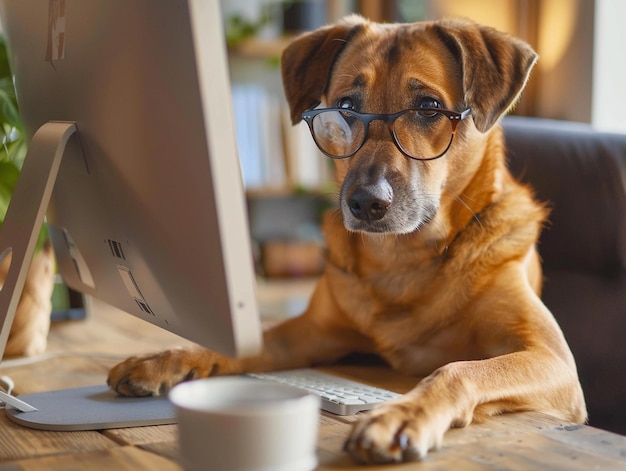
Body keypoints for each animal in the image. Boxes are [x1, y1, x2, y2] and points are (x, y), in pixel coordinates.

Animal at [107, 15, 584, 464]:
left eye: (429, 107)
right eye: (346, 106)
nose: (365, 203)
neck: (404, 258)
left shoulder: (552, 359)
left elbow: (458, 369)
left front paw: (401, 414)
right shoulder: (309, 333)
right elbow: (246, 341)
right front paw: (165, 359)